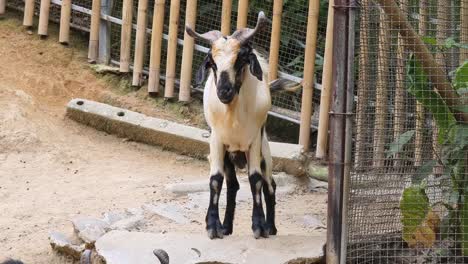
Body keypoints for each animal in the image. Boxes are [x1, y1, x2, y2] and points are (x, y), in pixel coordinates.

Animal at [187, 11, 282, 239]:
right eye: (212, 63)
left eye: (240, 60)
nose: (224, 91)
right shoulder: (217, 140)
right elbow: (215, 180)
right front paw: (213, 226)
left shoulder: (254, 140)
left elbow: (255, 180)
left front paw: (259, 226)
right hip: (229, 156)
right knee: (233, 186)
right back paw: (226, 227)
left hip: (264, 152)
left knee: (269, 184)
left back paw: (271, 227)